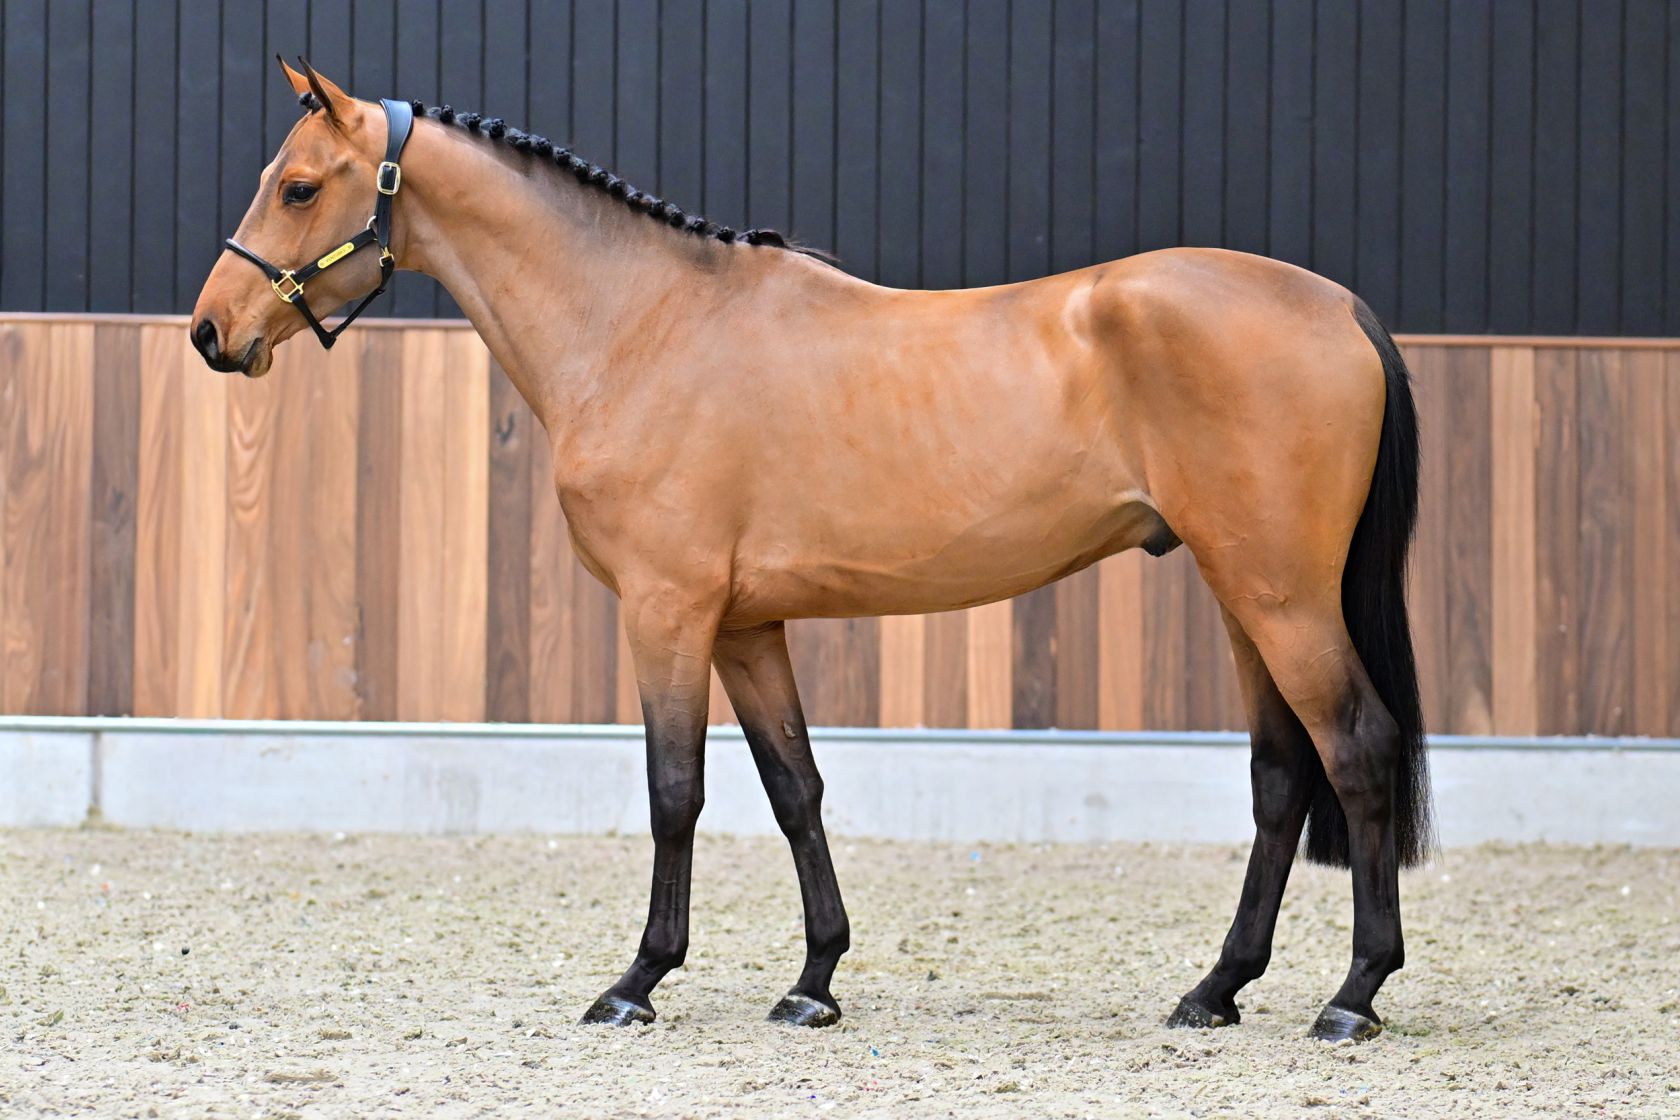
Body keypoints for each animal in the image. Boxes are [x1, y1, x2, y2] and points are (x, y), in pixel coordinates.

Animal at [192, 59, 1431, 1042]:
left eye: (299, 185)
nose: (212, 331)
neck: (641, 326)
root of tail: (1341, 307)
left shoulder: (669, 610)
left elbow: (675, 791)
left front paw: (638, 981)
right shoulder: (746, 624)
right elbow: (796, 789)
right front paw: (815, 980)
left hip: (1283, 597)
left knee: (1357, 749)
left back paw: (1353, 995)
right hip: (1242, 592)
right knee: (1280, 776)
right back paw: (1216, 989)